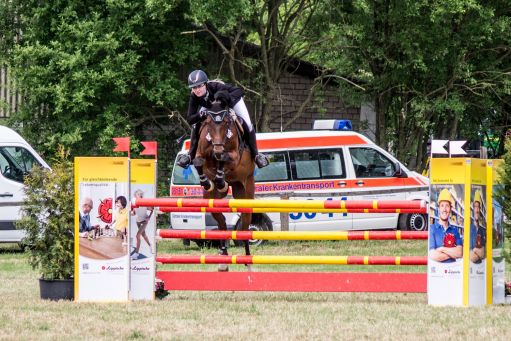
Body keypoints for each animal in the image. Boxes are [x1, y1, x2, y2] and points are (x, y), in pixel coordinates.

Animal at [192, 91, 256, 270]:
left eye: (227, 123)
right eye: (208, 124)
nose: (218, 147)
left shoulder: (233, 156)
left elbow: (224, 158)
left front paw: (221, 181)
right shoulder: (201, 153)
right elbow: (198, 162)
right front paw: (208, 182)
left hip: (246, 189)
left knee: (245, 226)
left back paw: (248, 261)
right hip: (213, 199)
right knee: (221, 222)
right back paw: (223, 258)